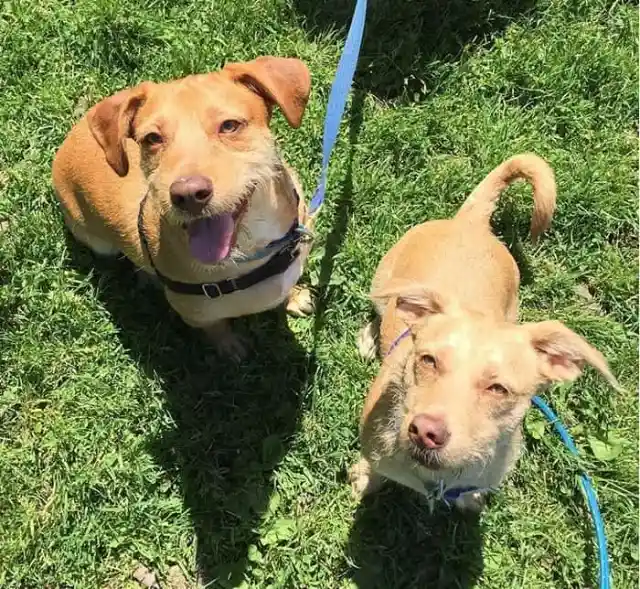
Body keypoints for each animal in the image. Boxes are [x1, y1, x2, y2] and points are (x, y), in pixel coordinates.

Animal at [52, 57, 316, 358]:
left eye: (229, 125)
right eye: (152, 138)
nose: (189, 194)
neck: (253, 253)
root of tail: (72, 134)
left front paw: (294, 297)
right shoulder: (197, 316)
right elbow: (217, 329)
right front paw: (229, 347)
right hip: (98, 241)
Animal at [350, 154, 620, 508]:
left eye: (498, 389)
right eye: (427, 360)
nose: (425, 432)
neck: (435, 479)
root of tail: (472, 223)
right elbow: (373, 467)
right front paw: (365, 478)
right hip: (383, 281)